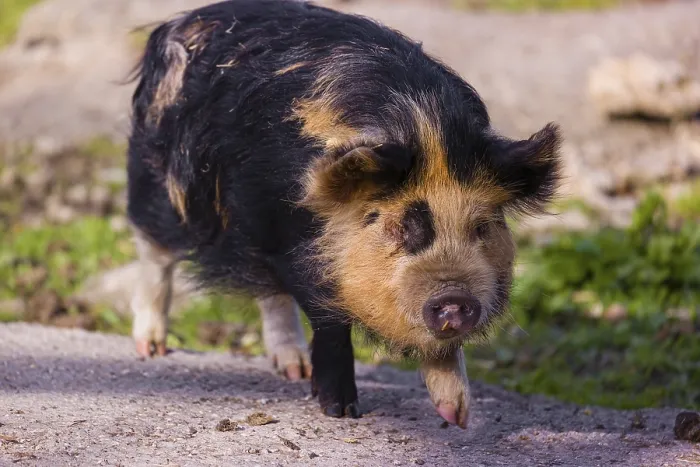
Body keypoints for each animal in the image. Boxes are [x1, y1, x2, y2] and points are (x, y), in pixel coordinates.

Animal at [125, 0, 563, 429]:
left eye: (482, 227)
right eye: (397, 225)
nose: (454, 297)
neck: (426, 129)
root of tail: (185, 19)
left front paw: (457, 417)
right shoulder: (302, 250)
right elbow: (331, 325)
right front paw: (342, 412)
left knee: (268, 292)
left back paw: (293, 370)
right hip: (161, 184)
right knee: (154, 252)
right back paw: (151, 349)